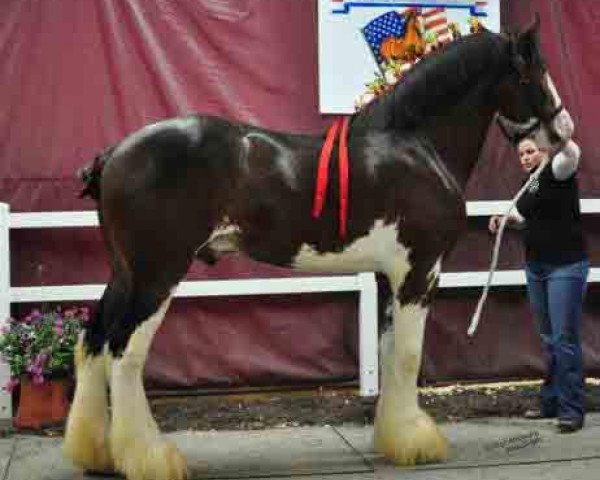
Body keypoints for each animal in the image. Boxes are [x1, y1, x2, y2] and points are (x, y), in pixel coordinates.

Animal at [63, 17, 576, 480]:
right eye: (532, 72)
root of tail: (115, 154)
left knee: (92, 342)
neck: (414, 144)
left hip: (125, 273)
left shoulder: (387, 275)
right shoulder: (421, 270)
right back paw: (150, 459)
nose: (564, 133)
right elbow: (410, 356)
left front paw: (394, 438)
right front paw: (419, 443)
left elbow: (389, 352)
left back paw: (98, 455)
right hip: (158, 274)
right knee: (124, 354)